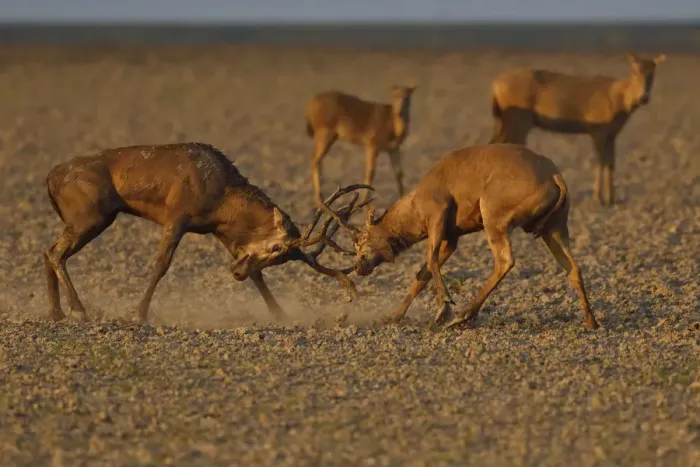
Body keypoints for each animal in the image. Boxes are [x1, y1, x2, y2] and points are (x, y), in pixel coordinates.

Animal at [44, 142, 371, 324]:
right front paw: (139, 313)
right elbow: (161, 265)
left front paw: (281, 314)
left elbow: (257, 275)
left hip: (88, 220)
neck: (222, 196)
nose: (235, 274)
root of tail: (50, 177)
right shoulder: (177, 218)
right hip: (90, 217)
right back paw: (79, 310)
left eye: (282, 258)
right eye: (277, 248)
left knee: (48, 251)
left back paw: (57, 312)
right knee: (56, 253)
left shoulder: (218, 230)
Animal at [322, 143, 600, 331]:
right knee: (573, 268)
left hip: (494, 221)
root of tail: (554, 175)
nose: (360, 267)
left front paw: (443, 309)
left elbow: (430, 261)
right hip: (554, 229)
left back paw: (462, 315)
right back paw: (591, 322)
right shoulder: (451, 239)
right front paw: (392, 317)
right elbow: (421, 275)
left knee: (505, 261)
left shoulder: (437, 216)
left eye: (360, 240)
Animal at [489, 53, 666, 206]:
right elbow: (600, 162)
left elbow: (610, 163)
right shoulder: (598, 131)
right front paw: (598, 198)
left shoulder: (612, 134)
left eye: (653, 72)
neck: (618, 99)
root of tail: (495, 85)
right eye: (635, 71)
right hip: (519, 121)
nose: (643, 98)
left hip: (505, 121)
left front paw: (611, 199)